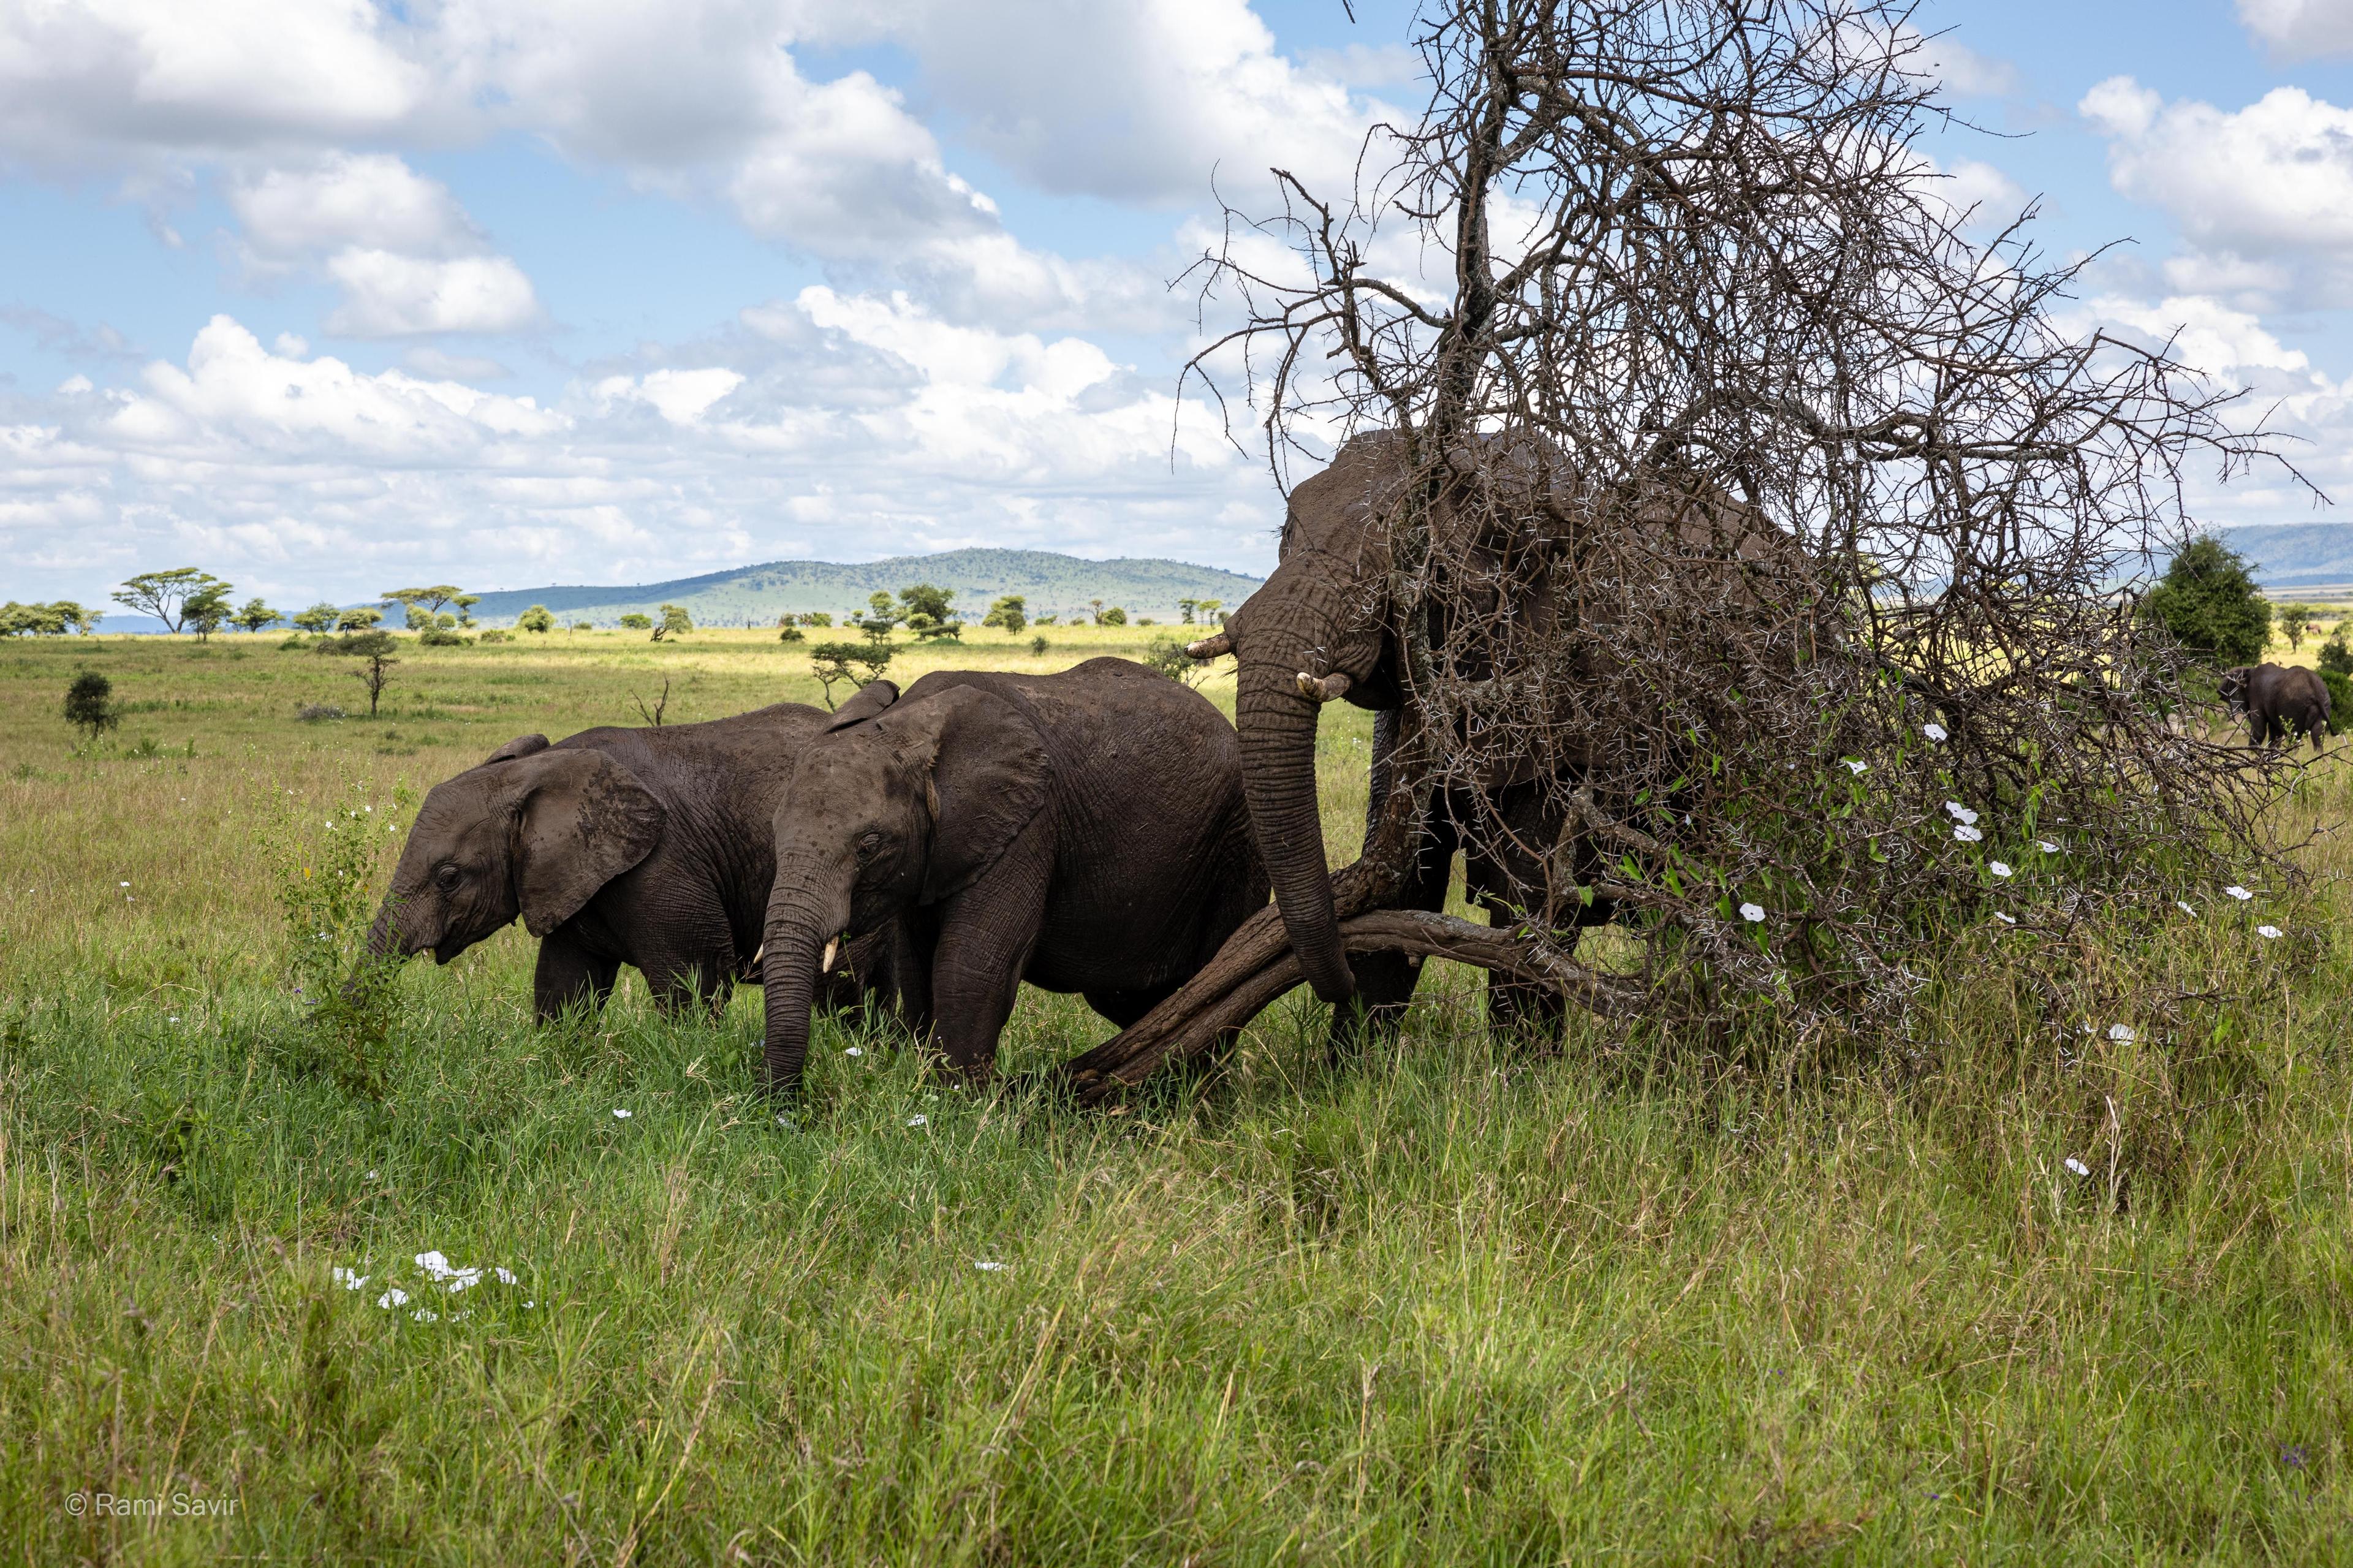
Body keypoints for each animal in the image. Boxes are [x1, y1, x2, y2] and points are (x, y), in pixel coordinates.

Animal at [367, 705, 912, 1021]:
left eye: (448, 877)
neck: (538, 770)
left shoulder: (662, 866)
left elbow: (693, 981)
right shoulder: (572, 879)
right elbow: (564, 988)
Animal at [757, 658, 1268, 1099]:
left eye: (869, 844)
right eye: (775, 829)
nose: (784, 1108)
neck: (909, 725)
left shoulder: (1027, 825)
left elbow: (970, 964)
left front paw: (955, 1107)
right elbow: (916, 966)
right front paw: (928, 1084)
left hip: (1238, 838)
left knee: (1213, 976)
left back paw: (1198, 1095)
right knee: (1127, 998)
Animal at [2221, 663, 2330, 752]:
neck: (2249, 671)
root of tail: (2314, 686)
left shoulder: (2255, 695)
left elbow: (2259, 730)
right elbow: (2275, 734)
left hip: (2293, 706)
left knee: (2293, 736)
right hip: (2325, 702)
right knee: (2317, 736)